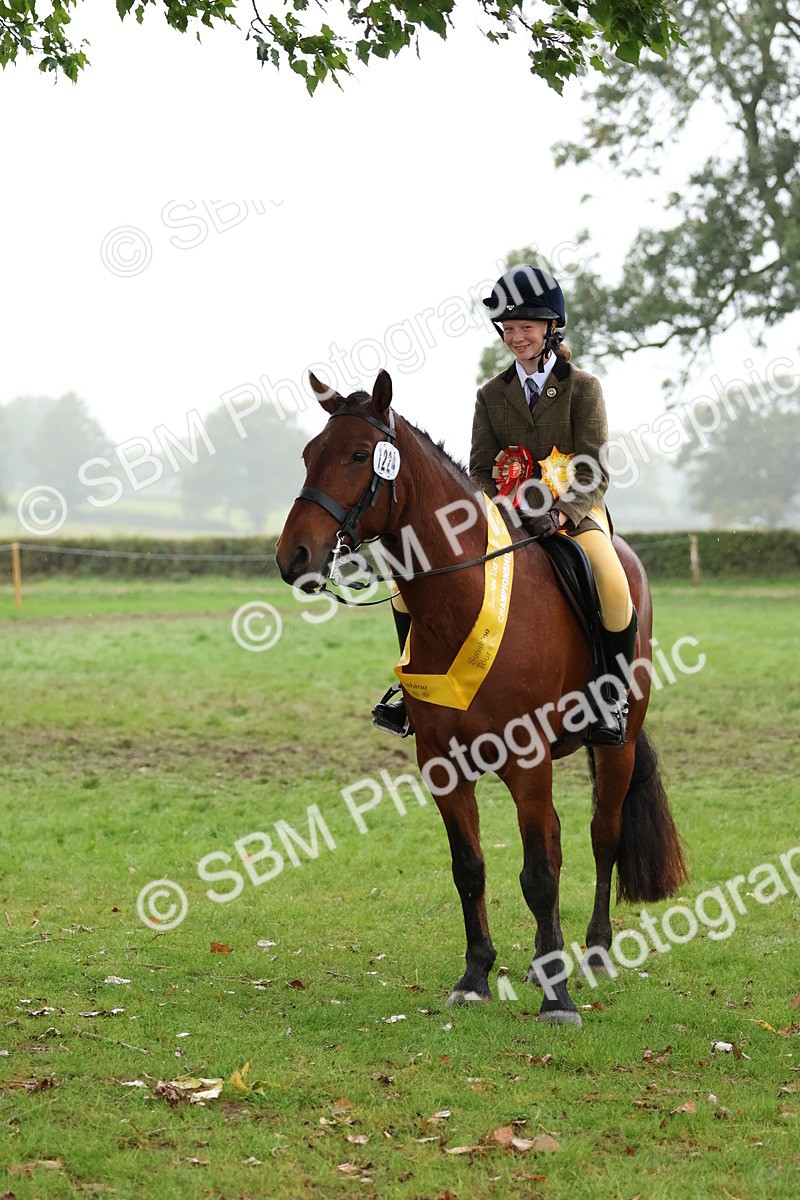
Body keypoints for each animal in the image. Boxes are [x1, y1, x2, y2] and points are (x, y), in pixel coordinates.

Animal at [276, 369, 687, 1026]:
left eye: (360, 456)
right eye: (309, 454)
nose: (293, 557)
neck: (460, 595)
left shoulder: (528, 759)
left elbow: (539, 875)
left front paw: (557, 1000)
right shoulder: (442, 763)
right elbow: (469, 869)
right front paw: (475, 976)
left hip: (613, 746)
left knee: (603, 835)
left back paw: (594, 952)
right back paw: (546, 959)